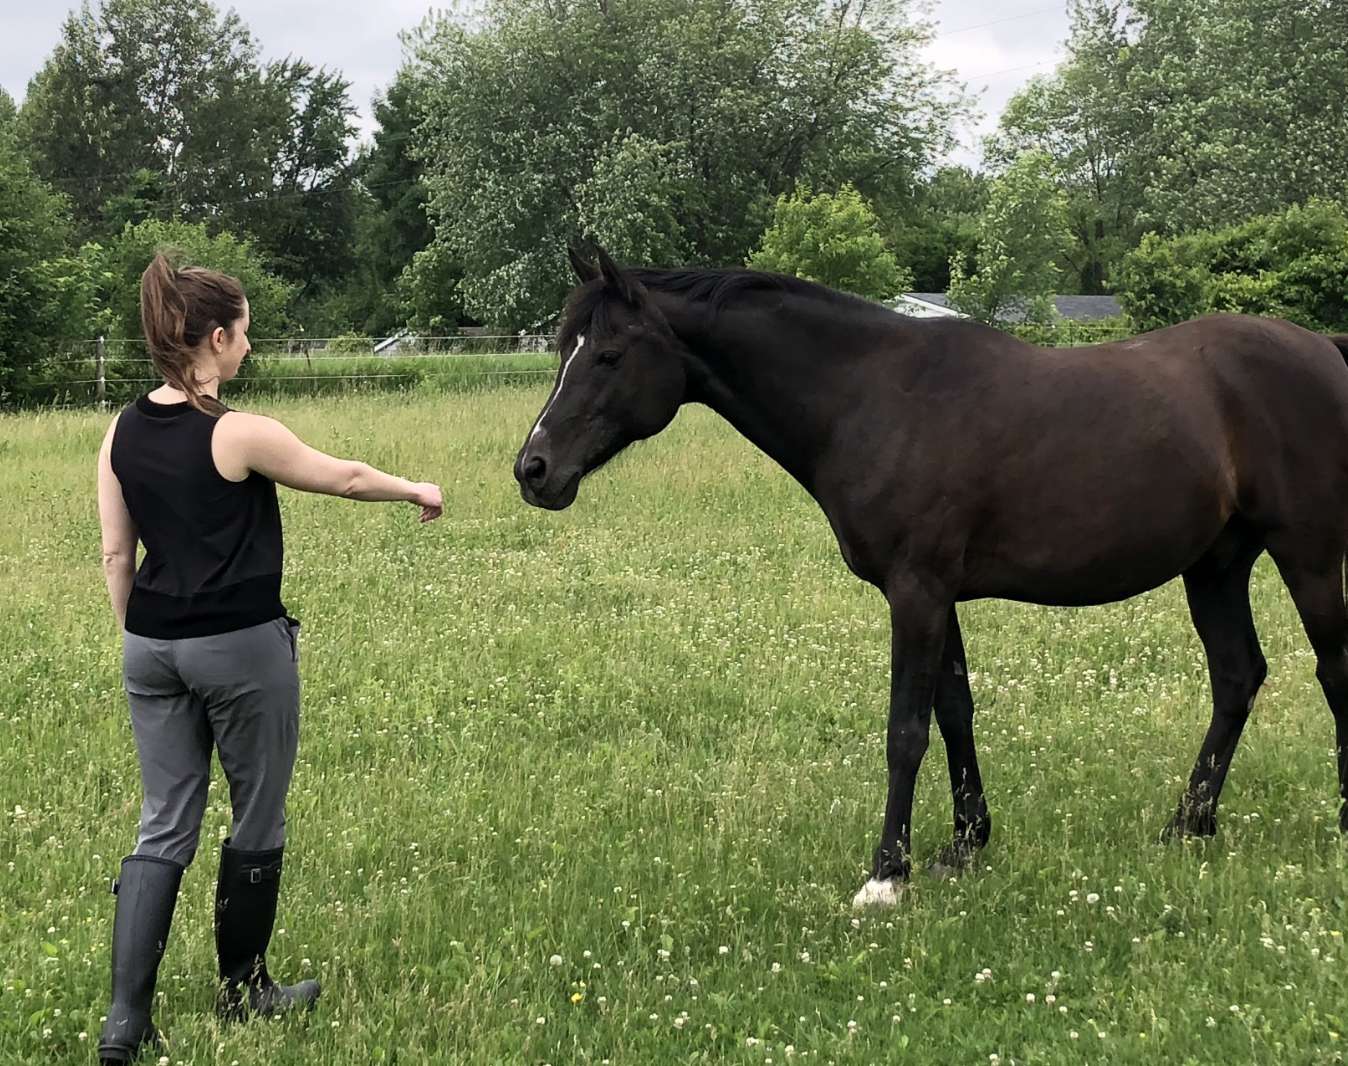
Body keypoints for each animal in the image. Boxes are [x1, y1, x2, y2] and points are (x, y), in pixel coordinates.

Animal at [514, 244, 1348, 908]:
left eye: (610, 354)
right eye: (562, 347)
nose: (534, 469)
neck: (874, 397)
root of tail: (1323, 350)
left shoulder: (915, 593)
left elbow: (905, 729)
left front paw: (888, 873)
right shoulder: (939, 594)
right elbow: (955, 712)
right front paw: (964, 843)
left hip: (1307, 556)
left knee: (1330, 672)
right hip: (1215, 566)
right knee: (1237, 677)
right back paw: (1188, 823)